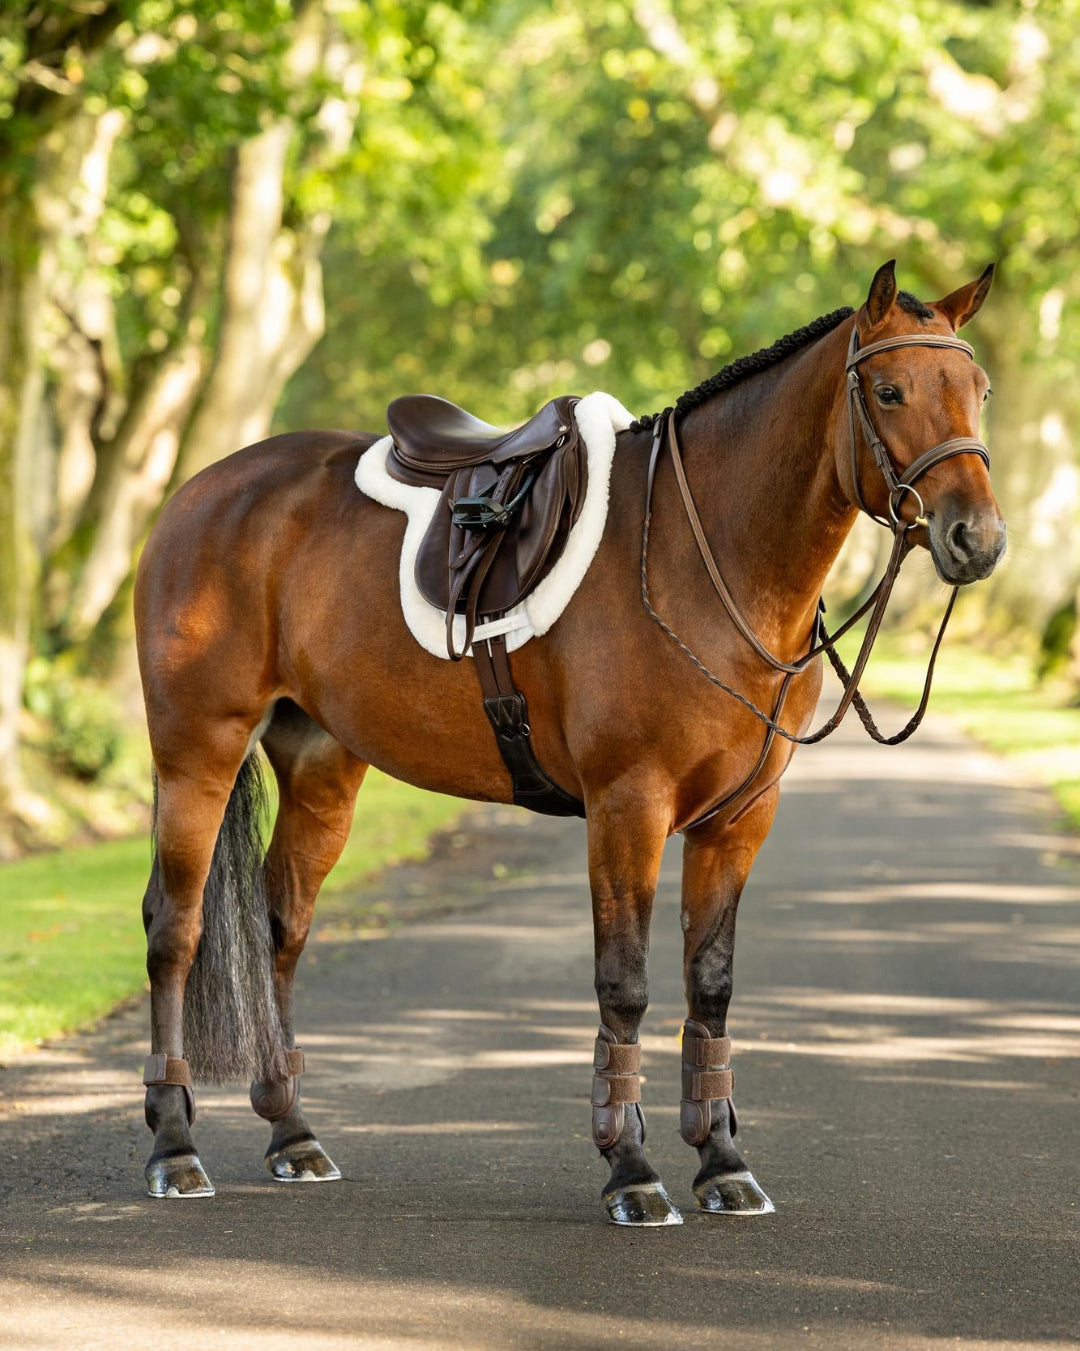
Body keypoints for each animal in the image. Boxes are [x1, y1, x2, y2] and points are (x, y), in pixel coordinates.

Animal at [134, 260, 1005, 1224]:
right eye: (889, 391)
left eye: (979, 391)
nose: (976, 537)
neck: (704, 554)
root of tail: (198, 492)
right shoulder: (628, 804)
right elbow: (624, 983)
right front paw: (631, 1167)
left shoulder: (739, 816)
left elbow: (711, 982)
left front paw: (722, 1161)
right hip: (196, 751)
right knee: (174, 928)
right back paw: (174, 1148)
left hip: (323, 763)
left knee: (282, 925)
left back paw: (293, 1134)